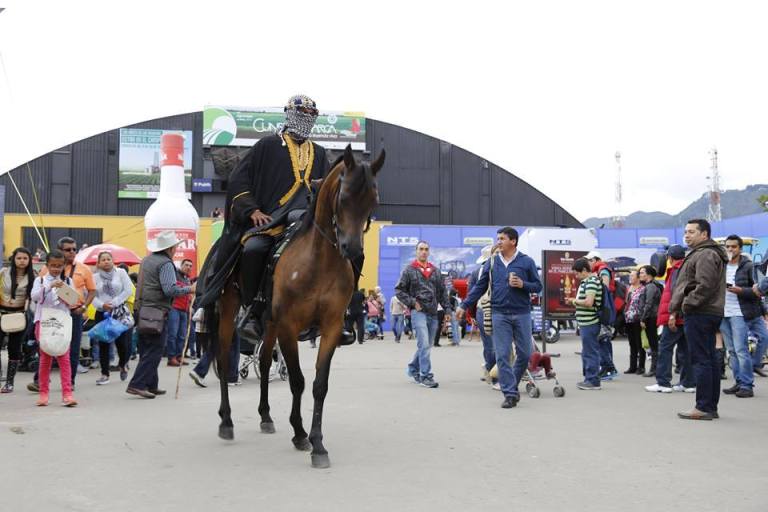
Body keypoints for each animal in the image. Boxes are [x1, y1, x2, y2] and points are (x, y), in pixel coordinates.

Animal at [212, 143, 382, 468]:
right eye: (343, 197)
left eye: (373, 200)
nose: (353, 250)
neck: (318, 262)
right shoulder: (289, 327)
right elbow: (297, 381)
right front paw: (302, 434)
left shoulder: (330, 327)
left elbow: (318, 385)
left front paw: (317, 443)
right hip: (229, 308)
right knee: (224, 358)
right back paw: (226, 422)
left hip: (269, 324)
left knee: (265, 361)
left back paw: (265, 416)